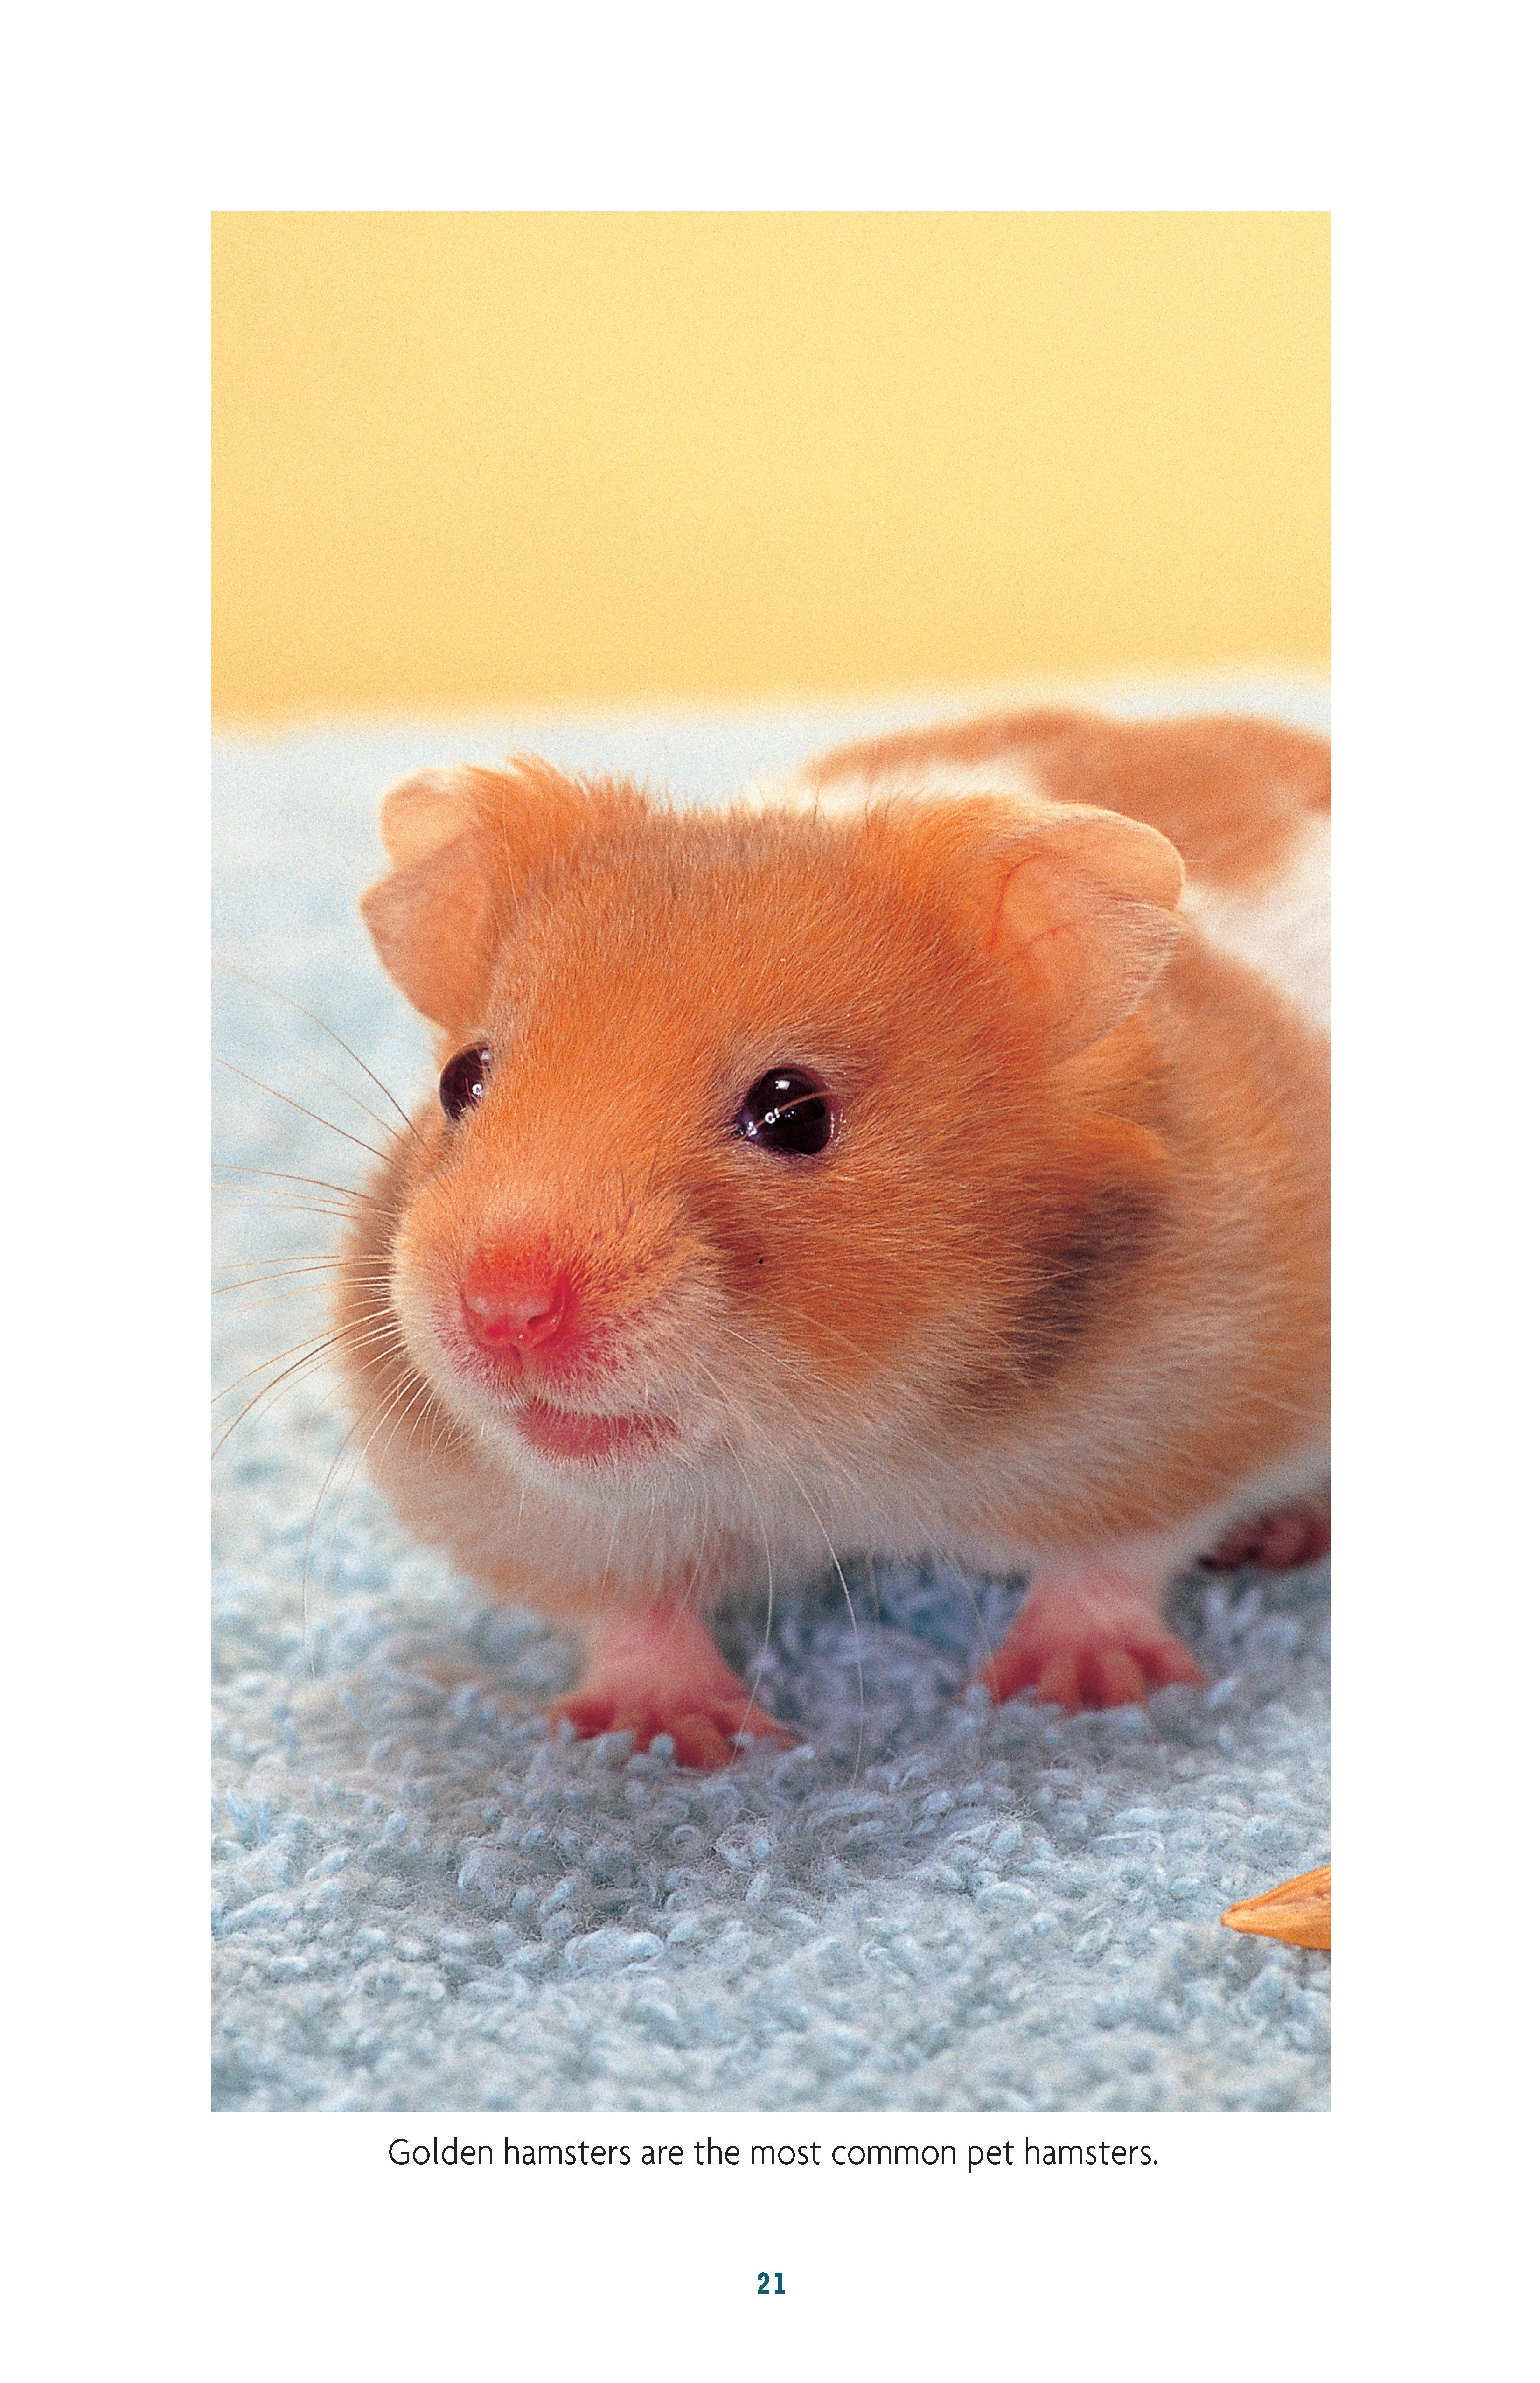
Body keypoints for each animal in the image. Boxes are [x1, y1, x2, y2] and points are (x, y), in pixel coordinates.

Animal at [336, 706, 1329, 1769]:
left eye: (795, 1111)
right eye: (462, 1079)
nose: (504, 1312)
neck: (836, 1433)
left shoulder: (1183, 1412)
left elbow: (1108, 1560)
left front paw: (1073, 1695)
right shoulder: (549, 1516)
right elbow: (635, 1612)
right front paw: (665, 1740)